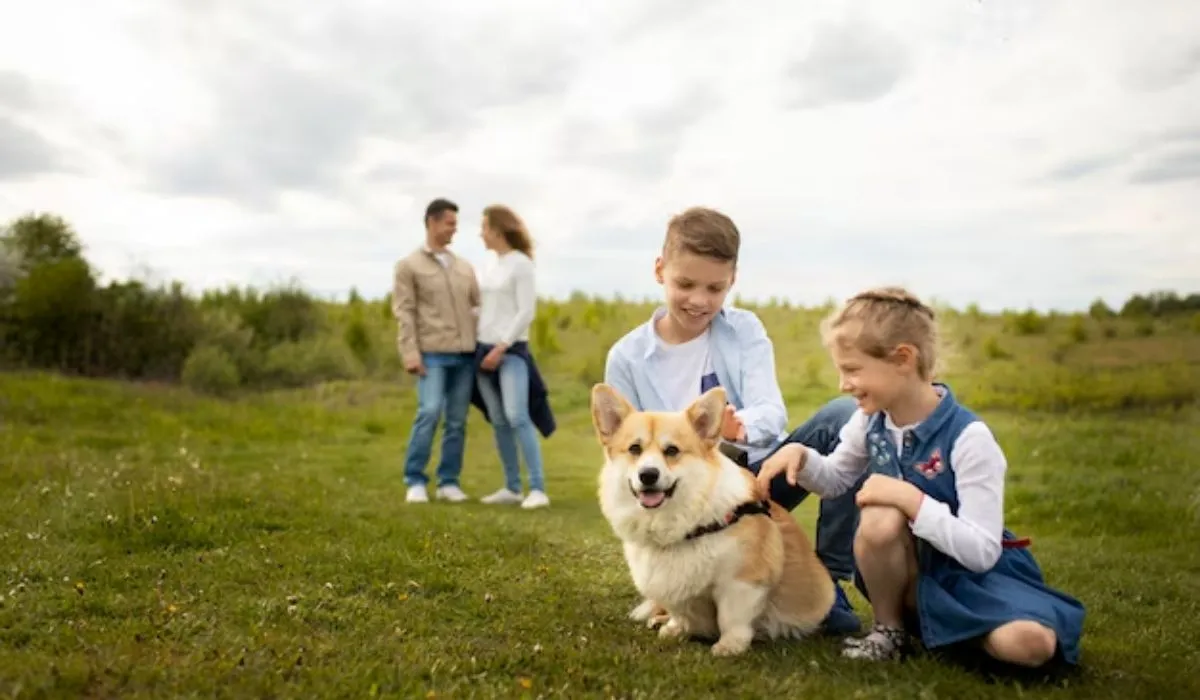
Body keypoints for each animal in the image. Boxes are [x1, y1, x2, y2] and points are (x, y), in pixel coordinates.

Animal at [588, 384, 835, 657]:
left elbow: (732, 618)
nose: (648, 475)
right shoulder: (672, 586)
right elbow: (681, 612)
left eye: (672, 451)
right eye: (634, 449)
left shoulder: (741, 581)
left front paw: (729, 646)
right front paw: (675, 628)